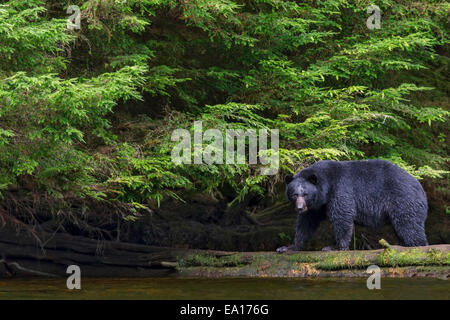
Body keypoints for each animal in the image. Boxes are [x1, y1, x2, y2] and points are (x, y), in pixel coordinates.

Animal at [278, 160, 428, 252]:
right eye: (294, 194)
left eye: (305, 194)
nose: (300, 208)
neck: (326, 185)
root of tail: (421, 188)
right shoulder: (317, 206)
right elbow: (306, 223)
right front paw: (289, 247)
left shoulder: (340, 190)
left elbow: (342, 216)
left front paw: (335, 247)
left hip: (403, 201)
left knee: (409, 226)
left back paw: (417, 245)